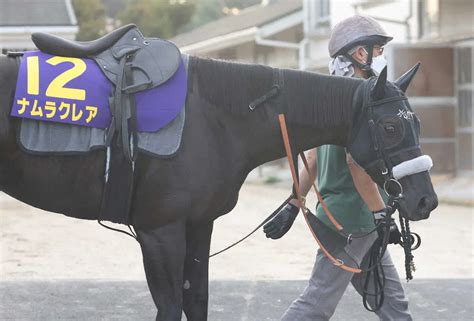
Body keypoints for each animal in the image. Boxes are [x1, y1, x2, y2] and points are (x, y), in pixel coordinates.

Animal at [0, 51, 436, 318]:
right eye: (391, 126)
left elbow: (197, 301)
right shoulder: (160, 233)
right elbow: (171, 307)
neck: (214, 119)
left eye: (417, 122)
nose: (425, 200)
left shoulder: (198, 226)